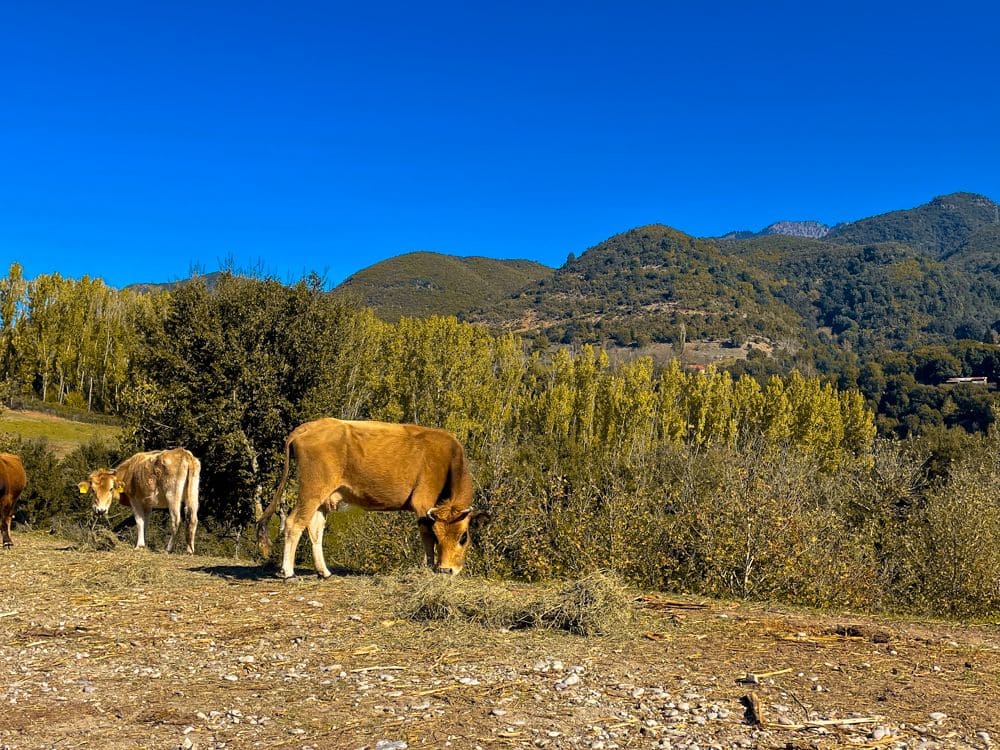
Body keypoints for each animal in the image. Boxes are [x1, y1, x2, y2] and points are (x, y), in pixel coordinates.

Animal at [258, 420, 488, 580]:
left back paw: (324, 572)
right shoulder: (423, 503)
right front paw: (429, 567)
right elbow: (426, 537)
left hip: (322, 497)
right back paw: (288, 572)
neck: (448, 458)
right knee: (294, 523)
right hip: (311, 491)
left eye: (463, 537)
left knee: (314, 528)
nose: (447, 570)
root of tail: (309, 426)